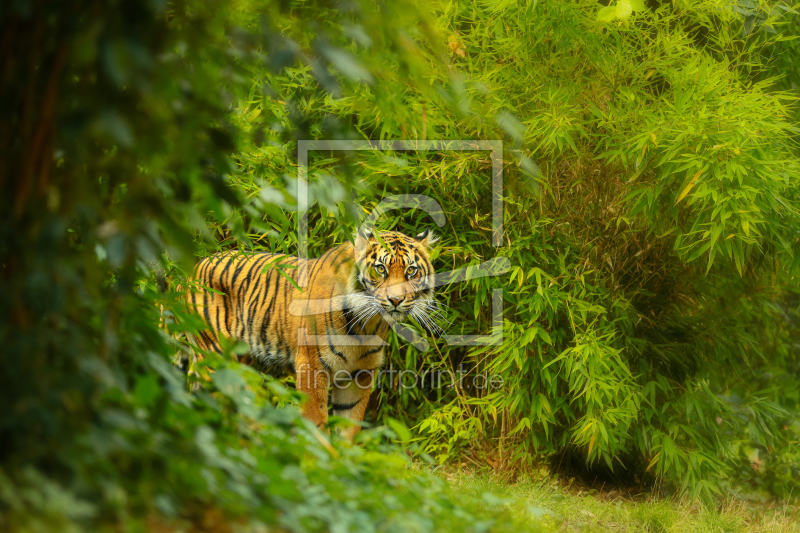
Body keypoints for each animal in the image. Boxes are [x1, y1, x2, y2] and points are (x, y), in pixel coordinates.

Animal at [185, 227, 440, 438]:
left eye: (411, 271)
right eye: (380, 269)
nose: (396, 300)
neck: (366, 324)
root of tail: (194, 267)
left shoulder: (360, 373)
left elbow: (349, 426)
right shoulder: (311, 366)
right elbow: (316, 422)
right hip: (215, 355)